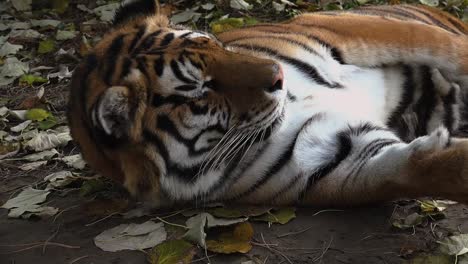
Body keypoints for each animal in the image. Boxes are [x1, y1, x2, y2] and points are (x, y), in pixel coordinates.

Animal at [66, 0, 468, 208]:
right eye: (199, 90)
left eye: (215, 45)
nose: (279, 75)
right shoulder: (332, 158)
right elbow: (415, 171)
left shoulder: (343, 30)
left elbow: (442, 46)